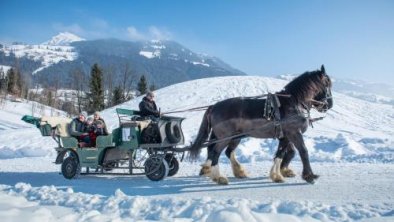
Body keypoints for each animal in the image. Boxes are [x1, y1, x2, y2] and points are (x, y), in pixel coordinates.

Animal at [189, 65, 330, 185]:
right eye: (328, 84)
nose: (329, 104)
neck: (292, 103)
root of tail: (214, 106)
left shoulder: (285, 136)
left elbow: (280, 154)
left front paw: (277, 175)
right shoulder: (294, 133)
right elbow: (303, 151)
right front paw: (309, 176)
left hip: (235, 137)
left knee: (226, 152)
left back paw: (235, 172)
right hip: (225, 137)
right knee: (215, 152)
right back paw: (219, 177)